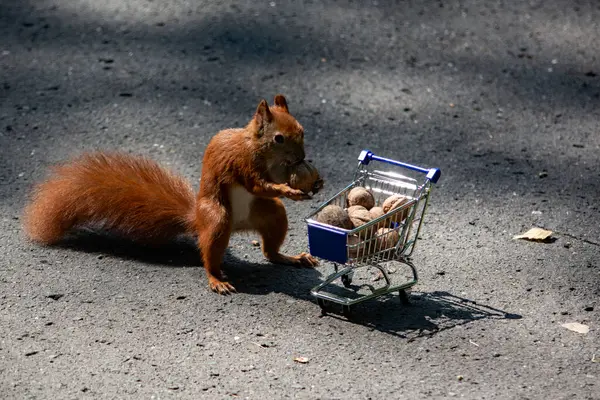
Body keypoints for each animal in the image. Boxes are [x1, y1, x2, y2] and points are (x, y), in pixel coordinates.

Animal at [22, 94, 324, 294]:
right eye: (278, 138)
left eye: (302, 130)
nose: (302, 157)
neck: (258, 148)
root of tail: (198, 220)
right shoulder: (241, 163)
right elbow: (258, 185)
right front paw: (288, 189)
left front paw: (316, 182)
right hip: (218, 219)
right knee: (209, 257)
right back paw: (216, 279)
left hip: (270, 213)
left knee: (270, 251)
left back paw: (292, 258)